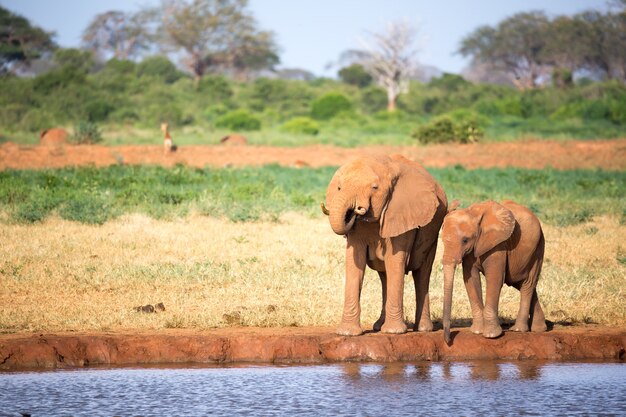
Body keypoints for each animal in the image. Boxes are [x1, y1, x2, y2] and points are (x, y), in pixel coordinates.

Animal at [322, 154, 444, 336]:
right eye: (339, 187)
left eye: (374, 187)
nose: (356, 209)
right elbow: (354, 262)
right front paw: (347, 333)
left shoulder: (402, 212)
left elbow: (395, 260)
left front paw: (394, 332)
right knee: (385, 276)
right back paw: (379, 326)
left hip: (433, 233)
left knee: (422, 273)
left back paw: (422, 329)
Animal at [438, 200, 544, 342]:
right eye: (442, 240)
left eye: (465, 240)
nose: (448, 340)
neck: (472, 213)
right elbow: (471, 279)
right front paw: (477, 331)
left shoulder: (498, 244)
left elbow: (495, 278)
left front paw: (491, 335)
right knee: (521, 283)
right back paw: (540, 329)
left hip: (538, 248)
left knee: (527, 284)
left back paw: (518, 329)